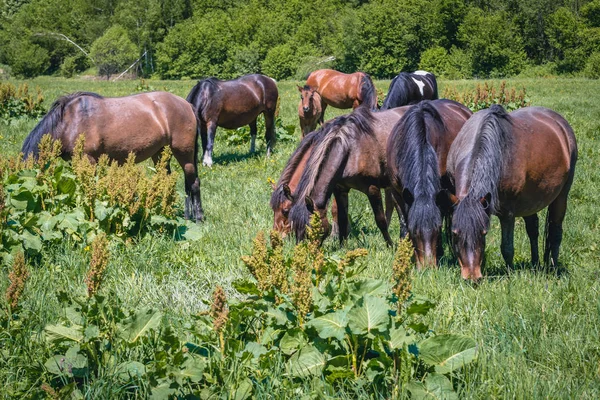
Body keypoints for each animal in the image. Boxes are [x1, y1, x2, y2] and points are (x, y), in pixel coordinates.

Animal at [21, 91, 204, 222]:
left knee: (193, 183)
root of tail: (187, 104)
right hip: (160, 154)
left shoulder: (89, 160)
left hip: (184, 153)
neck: (68, 122)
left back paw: (198, 218)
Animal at [288, 104, 412, 245]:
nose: (305, 250)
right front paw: (342, 246)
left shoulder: (372, 188)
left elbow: (380, 220)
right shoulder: (340, 189)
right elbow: (342, 219)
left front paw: (390, 245)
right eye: (294, 227)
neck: (352, 150)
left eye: (310, 229)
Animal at [384, 99, 474, 268]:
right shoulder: (396, 192)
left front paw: (439, 252)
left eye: (437, 229)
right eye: (414, 230)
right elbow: (403, 222)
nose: (428, 267)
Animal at [446, 105, 576, 282]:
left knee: (555, 233)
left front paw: (509, 276)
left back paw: (553, 269)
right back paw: (535, 264)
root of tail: (560, 123)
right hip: (531, 201)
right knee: (533, 230)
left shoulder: (507, 214)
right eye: (455, 234)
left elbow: (507, 247)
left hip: (561, 196)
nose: (472, 277)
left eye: (484, 233)